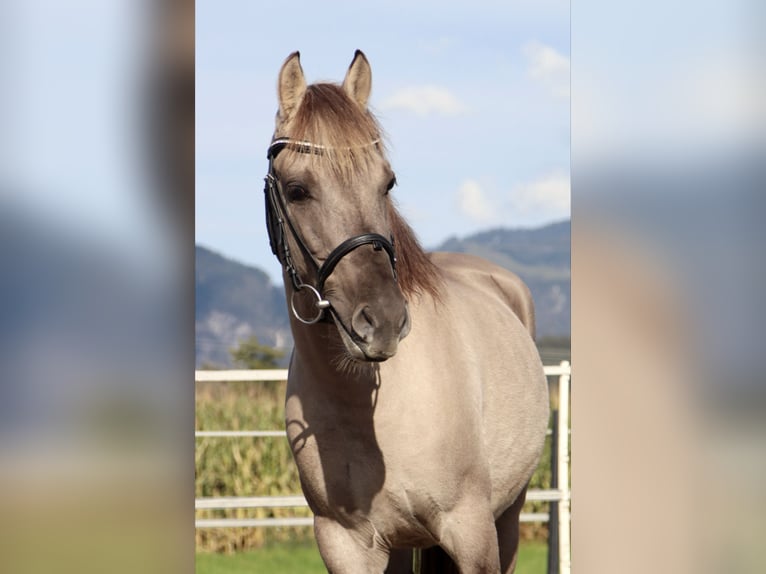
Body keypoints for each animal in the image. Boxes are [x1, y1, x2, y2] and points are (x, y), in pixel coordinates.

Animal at [264, 51, 552, 572]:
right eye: (296, 190)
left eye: (388, 182)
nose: (382, 322)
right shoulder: (345, 544)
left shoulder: (472, 532)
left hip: (508, 518)